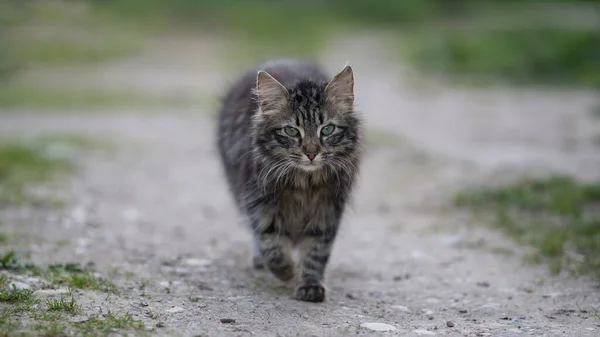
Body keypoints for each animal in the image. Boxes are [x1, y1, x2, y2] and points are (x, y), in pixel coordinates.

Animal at [218, 58, 364, 302]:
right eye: (291, 131)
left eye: (328, 129)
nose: (312, 152)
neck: (304, 183)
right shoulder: (258, 202)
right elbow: (270, 244)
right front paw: (287, 271)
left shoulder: (328, 210)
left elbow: (316, 251)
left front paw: (310, 284)